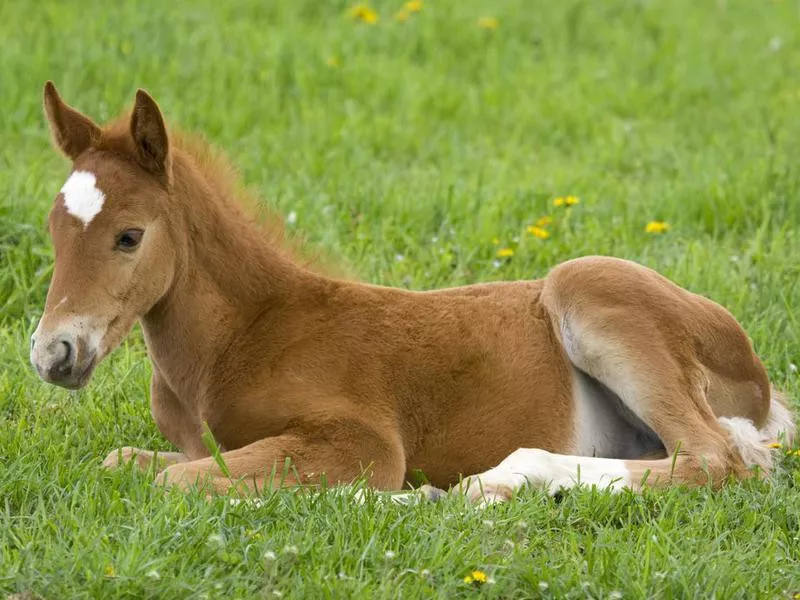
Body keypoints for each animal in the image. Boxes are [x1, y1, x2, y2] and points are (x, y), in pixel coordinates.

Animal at [29, 83, 792, 506]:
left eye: (129, 236)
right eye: (53, 228)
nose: (51, 353)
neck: (240, 338)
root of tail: (760, 379)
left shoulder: (360, 441)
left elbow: (174, 484)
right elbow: (125, 464)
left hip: (587, 285)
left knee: (716, 459)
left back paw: (496, 482)